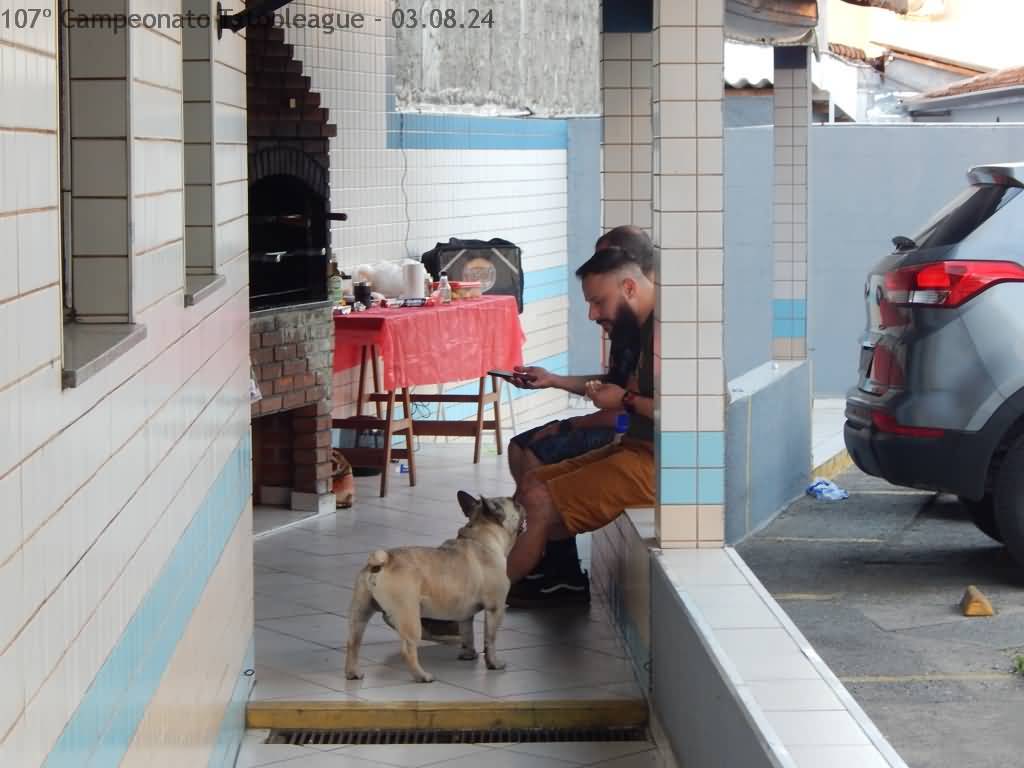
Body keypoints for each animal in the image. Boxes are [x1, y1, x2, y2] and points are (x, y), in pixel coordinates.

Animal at [344, 491, 524, 683]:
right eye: (515, 504)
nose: (521, 503)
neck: (481, 537)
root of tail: (383, 561)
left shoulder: (465, 615)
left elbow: (467, 635)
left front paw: (468, 655)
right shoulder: (495, 609)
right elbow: (490, 639)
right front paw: (494, 663)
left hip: (360, 612)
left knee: (353, 642)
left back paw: (352, 673)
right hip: (409, 617)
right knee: (408, 648)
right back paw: (422, 676)